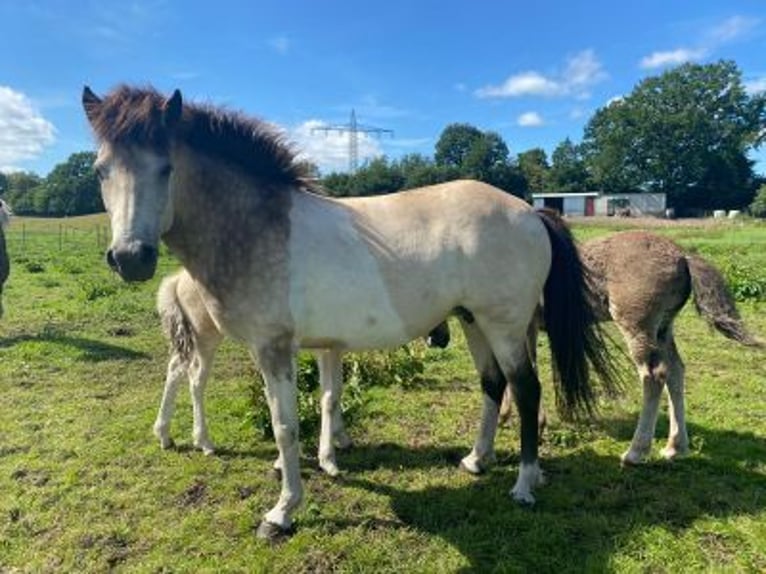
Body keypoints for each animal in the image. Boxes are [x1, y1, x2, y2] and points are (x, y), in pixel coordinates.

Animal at [82, 83, 616, 544]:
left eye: (166, 167)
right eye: (101, 170)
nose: (131, 258)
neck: (257, 225)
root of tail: (531, 212)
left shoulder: (273, 348)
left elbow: (285, 425)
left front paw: (282, 511)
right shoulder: (313, 347)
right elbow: (321, 404)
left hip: (503, 325)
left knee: (525, 390)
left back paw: (524, 485)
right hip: (473, 322)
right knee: (493, 384)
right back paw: (476, 460)